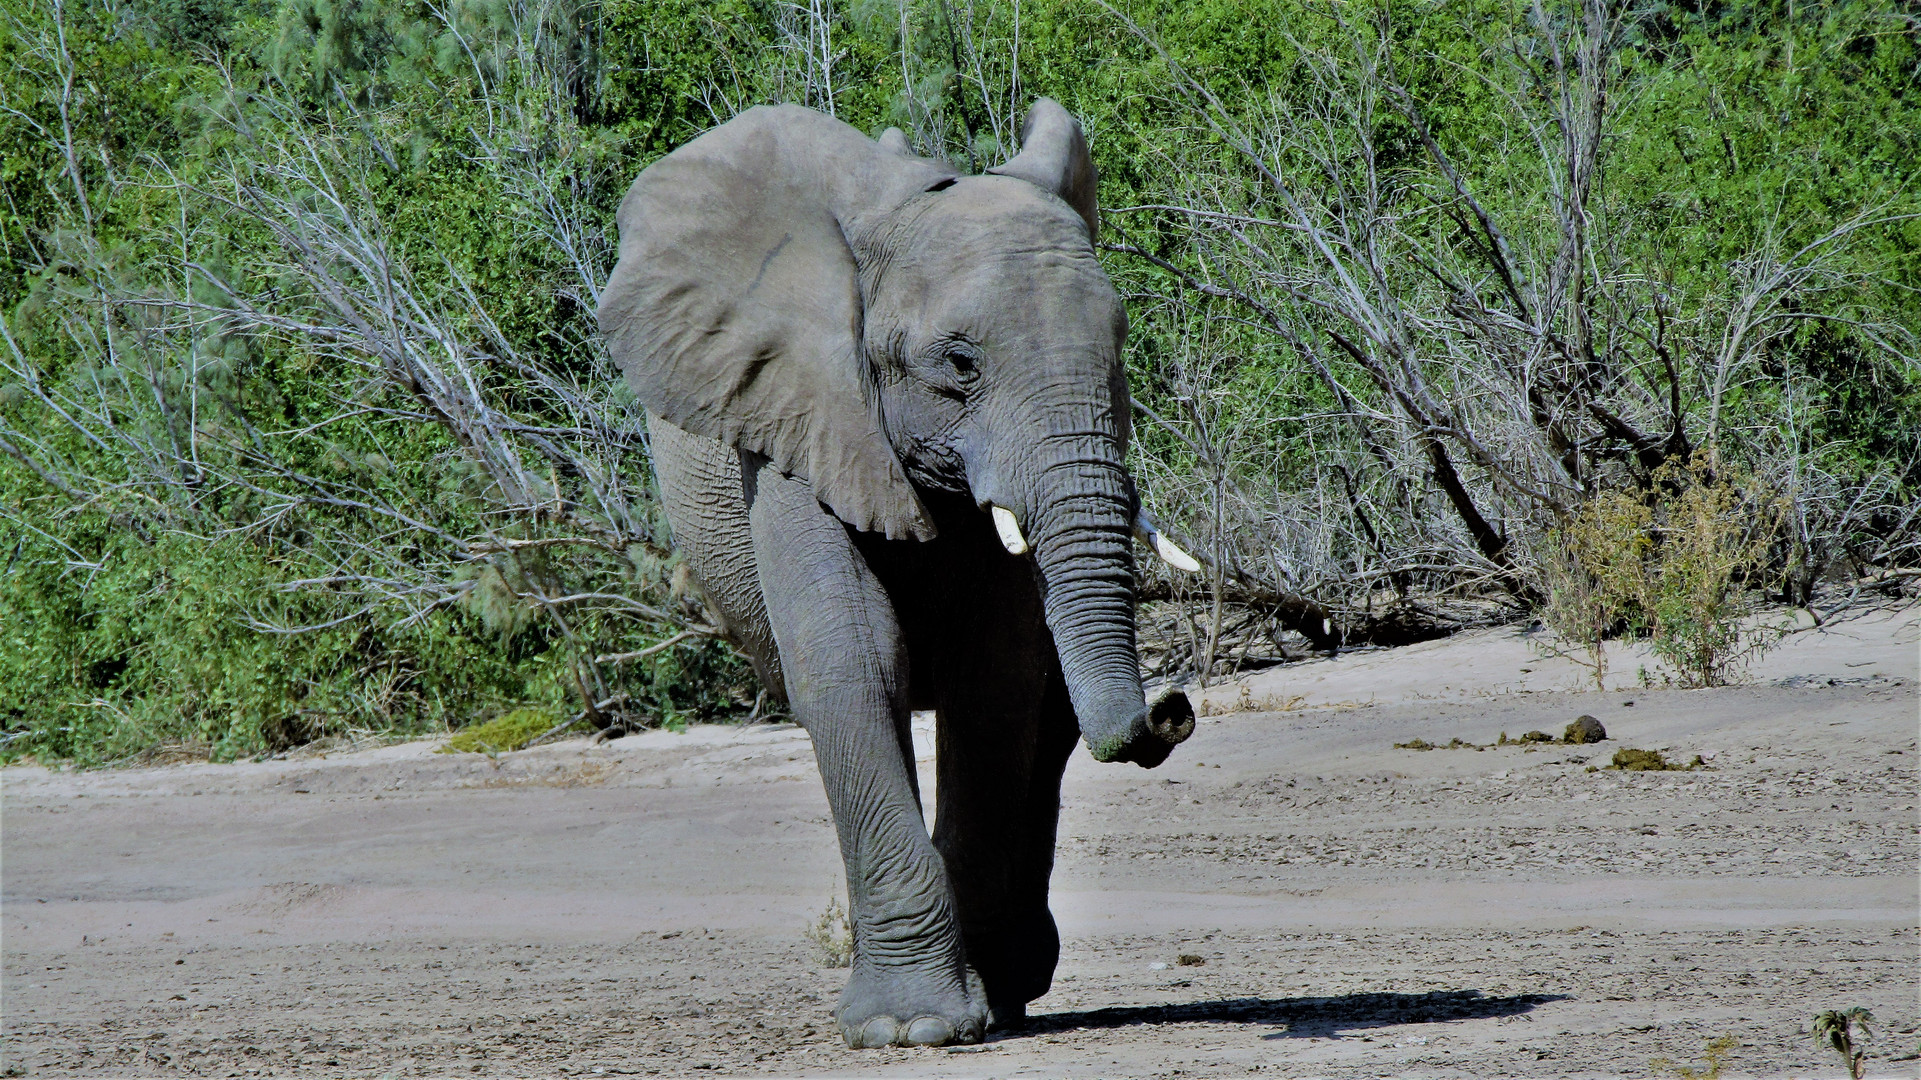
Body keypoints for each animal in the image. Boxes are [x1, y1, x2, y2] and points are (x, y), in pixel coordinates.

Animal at [599, 98, 1198, 1045]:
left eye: (1120, 347)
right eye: (960, 364)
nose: (1171, 707)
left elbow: (993, 685)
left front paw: (968, 1007)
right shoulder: (795, 421)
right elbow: (854, 663)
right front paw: (908, 1030)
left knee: (1048, 724)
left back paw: (1012, 981)